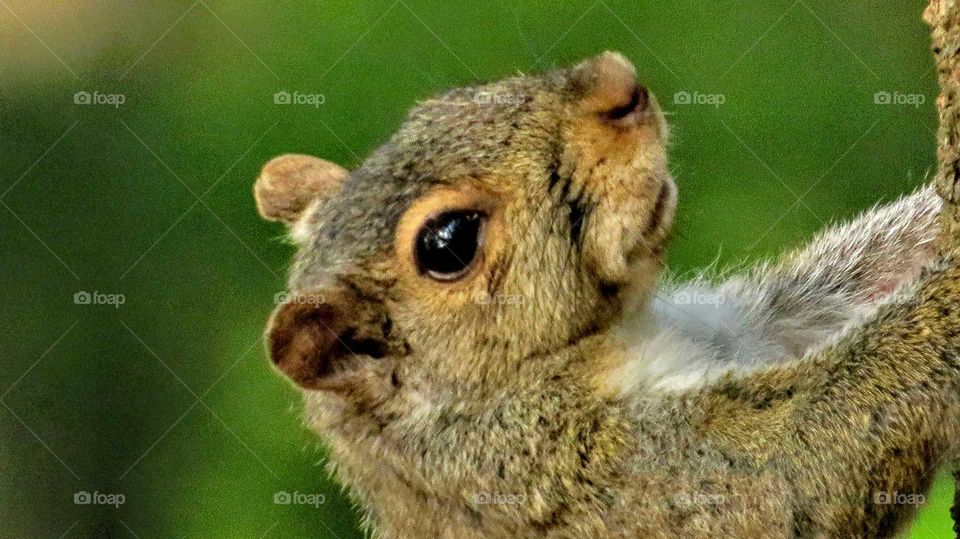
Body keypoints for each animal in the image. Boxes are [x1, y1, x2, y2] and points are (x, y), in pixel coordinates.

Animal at [254, 52, 960, 537]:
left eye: (442, 102)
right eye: (447, 243)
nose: (617, 82)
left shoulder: (744, 326)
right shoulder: (590, 471)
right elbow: (794, 460)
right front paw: (944, 304)